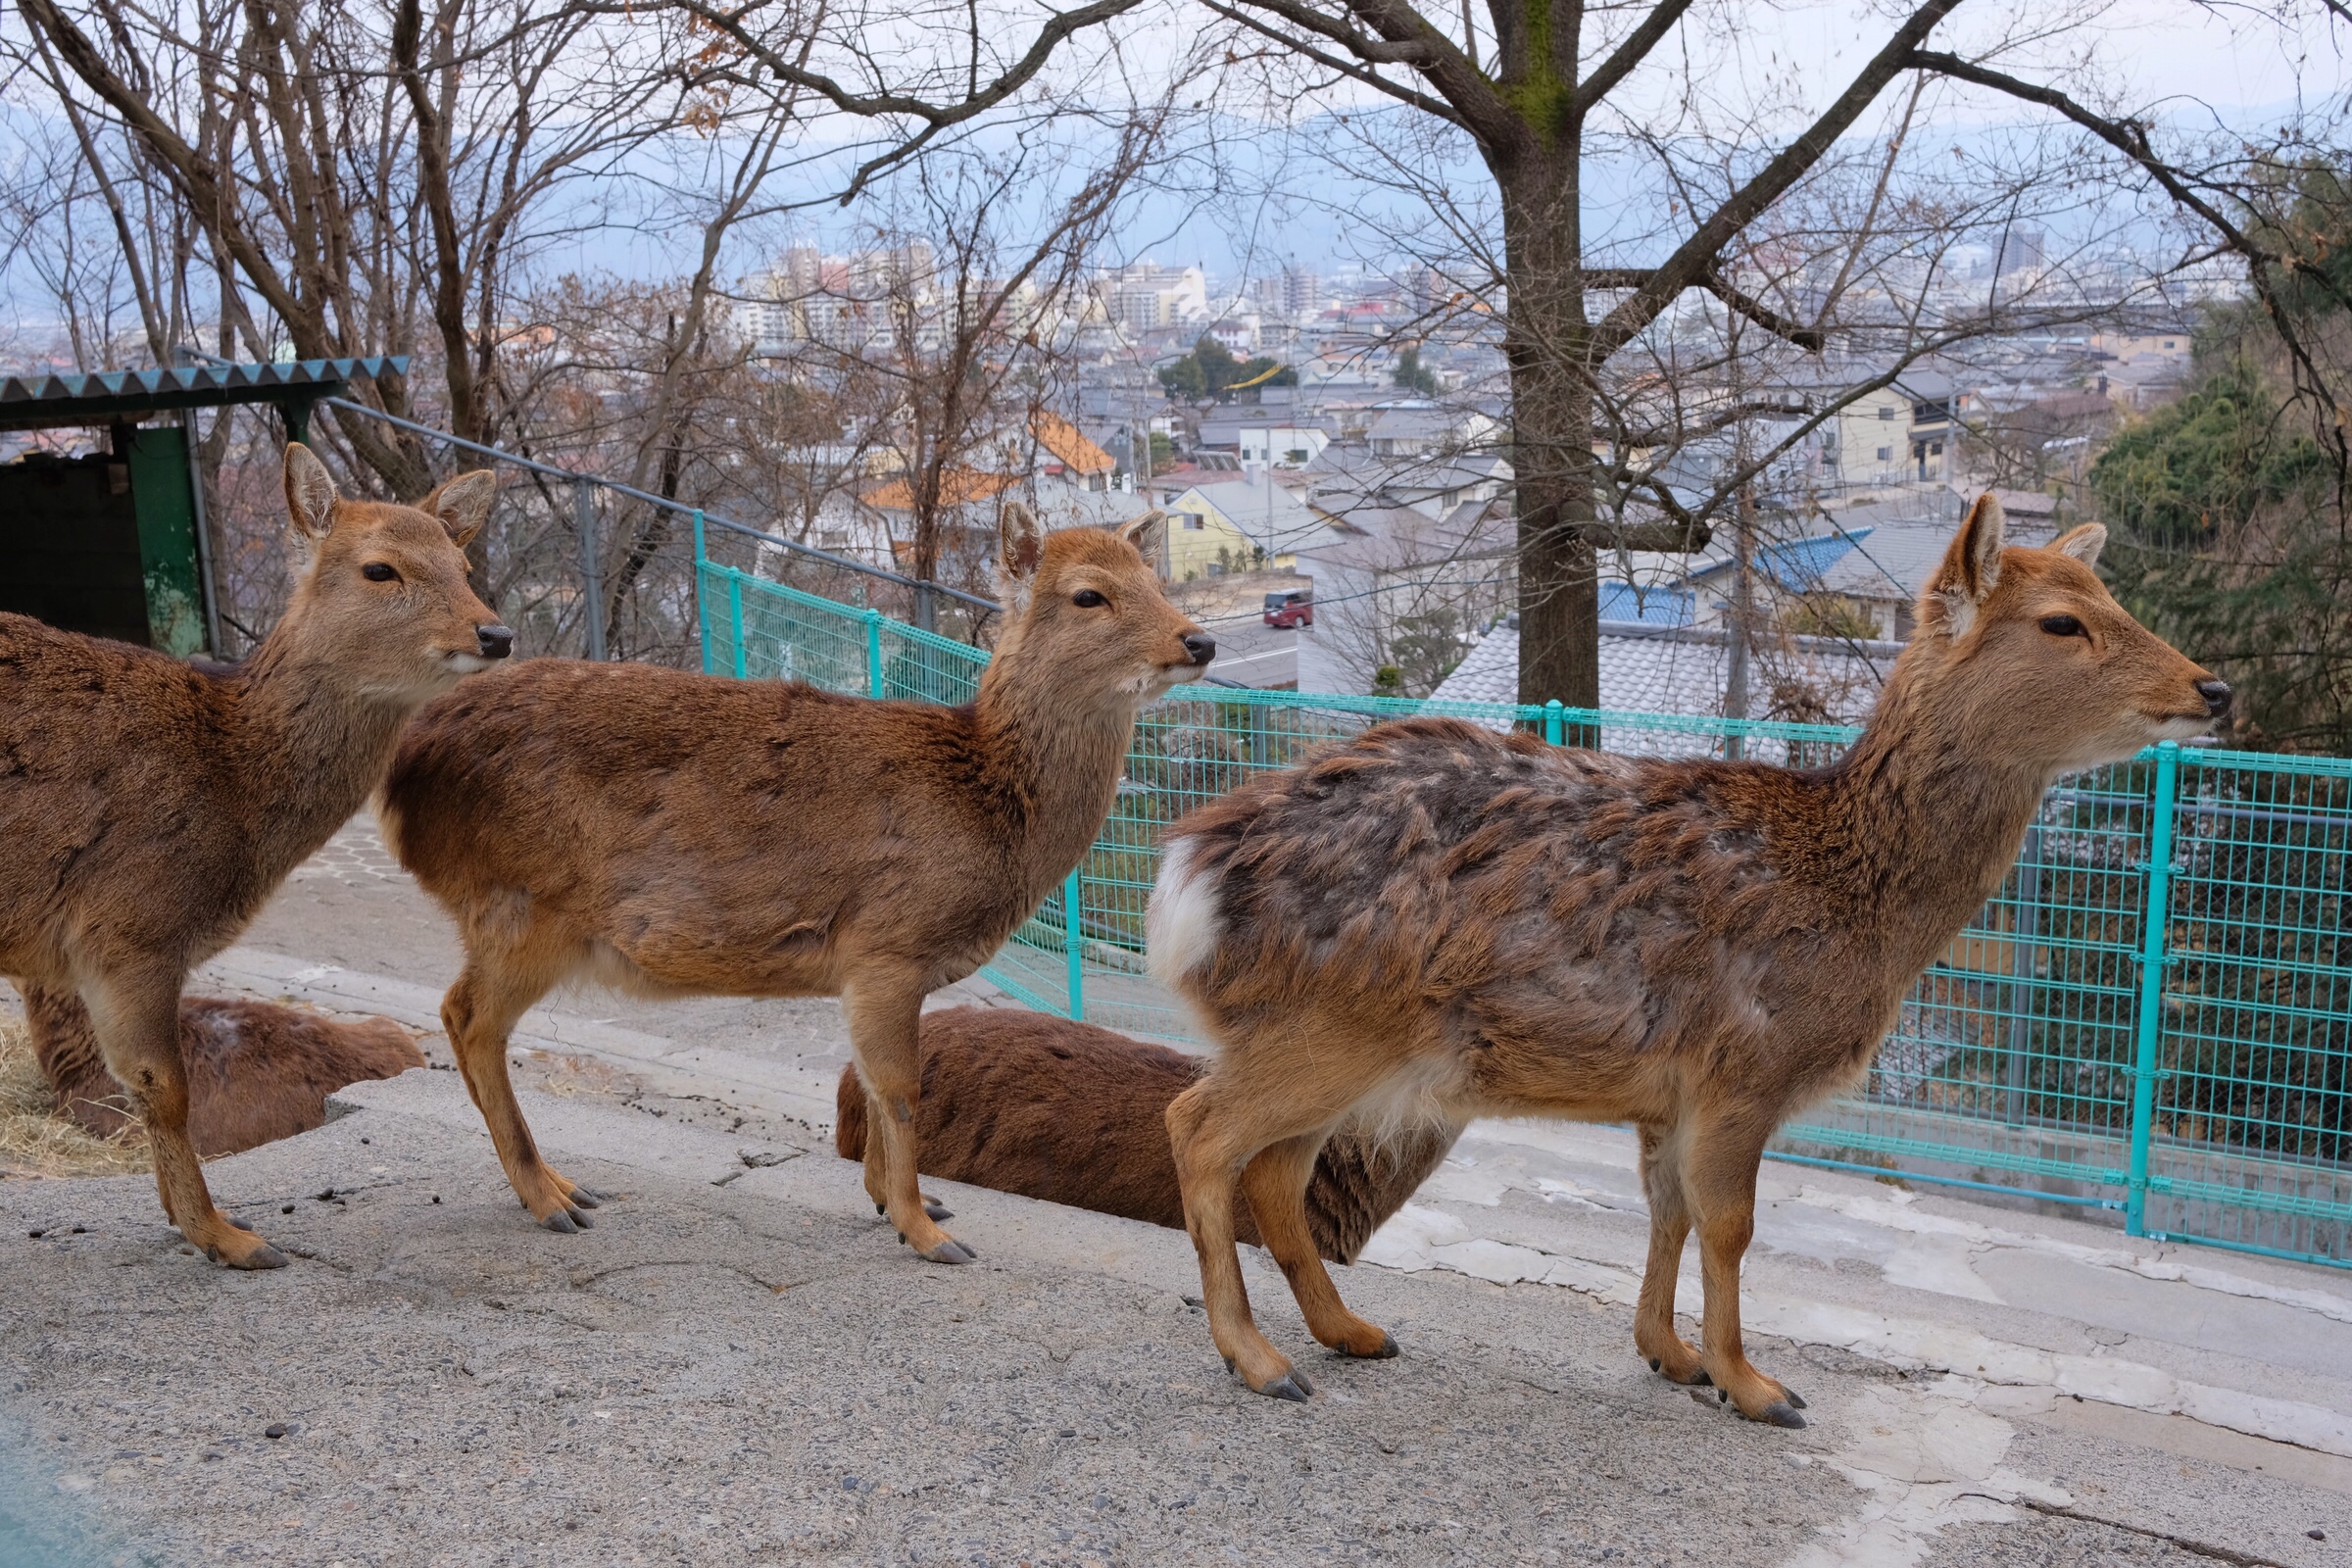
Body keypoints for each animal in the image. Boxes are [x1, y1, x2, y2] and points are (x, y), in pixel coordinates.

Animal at [378, 503, 1213, 1259]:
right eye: (1089, 594)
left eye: (1156, 579)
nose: (1199, 640)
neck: (985, 796)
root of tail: (402, 771)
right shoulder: (889, 943)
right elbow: (901, 1089)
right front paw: (924, 1231)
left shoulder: (865, 969)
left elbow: (873, 1086)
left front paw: (896, 1201)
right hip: (523, 906)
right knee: (468, 1018)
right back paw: (551, 1198)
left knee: (464, 1017)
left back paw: (560, 1188)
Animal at [1148, 500, 2230, 1419]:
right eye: (2062, 621)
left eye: (2114, 599)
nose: (2212, 688)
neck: (1857, 908)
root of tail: (1188, 881)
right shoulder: (1742, 1065)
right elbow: (1732, 1225)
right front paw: (1755, 1383)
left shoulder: (1666, 1090)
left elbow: (1665, 1213)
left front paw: (1670, 1353)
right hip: (1326, 1024)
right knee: (1200, 1127)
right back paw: (1259, 1359)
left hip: (1336, 1045)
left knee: (1274, 1169)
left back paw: (1349, 1331)